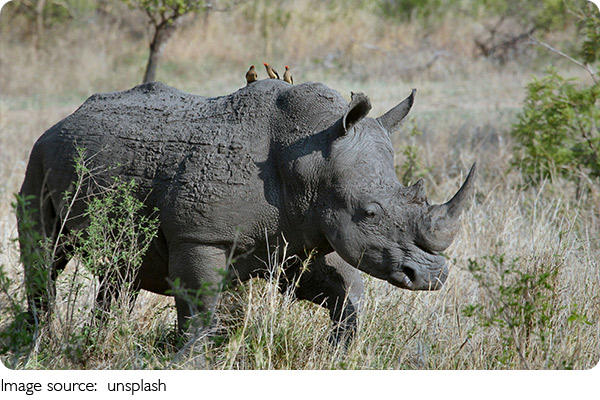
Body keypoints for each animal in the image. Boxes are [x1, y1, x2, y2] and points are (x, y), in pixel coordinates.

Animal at [17, 79, 475, 343]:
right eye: (370, 212)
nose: (432, 277)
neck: (311, 159)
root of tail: (65, 118)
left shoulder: (295, 234)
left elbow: (342, 293)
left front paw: (339, 352)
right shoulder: (200, 236)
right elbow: (199, 309)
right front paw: (190, 361)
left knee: (121, 272)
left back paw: (93, 344)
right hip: (38, 156)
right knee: (45, 255)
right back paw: (36, 347)